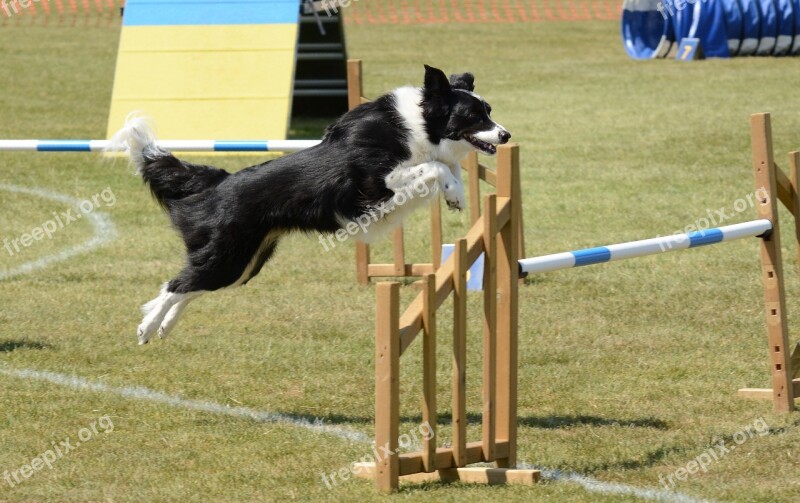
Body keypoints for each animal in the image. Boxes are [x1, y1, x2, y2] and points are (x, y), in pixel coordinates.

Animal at [109, 65, 510, 344]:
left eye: (490, 110)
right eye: (473, 116)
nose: (506, 134)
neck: (422, 125)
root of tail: (220, 181)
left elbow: (449, 167)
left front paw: (456, 195)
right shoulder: (376, 182)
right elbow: (437, 166)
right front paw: (452, 189)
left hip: (245, 264)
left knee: (188, 287)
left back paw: (163, 326)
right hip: (230, 255)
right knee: (177, 282)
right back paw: (147, 327)